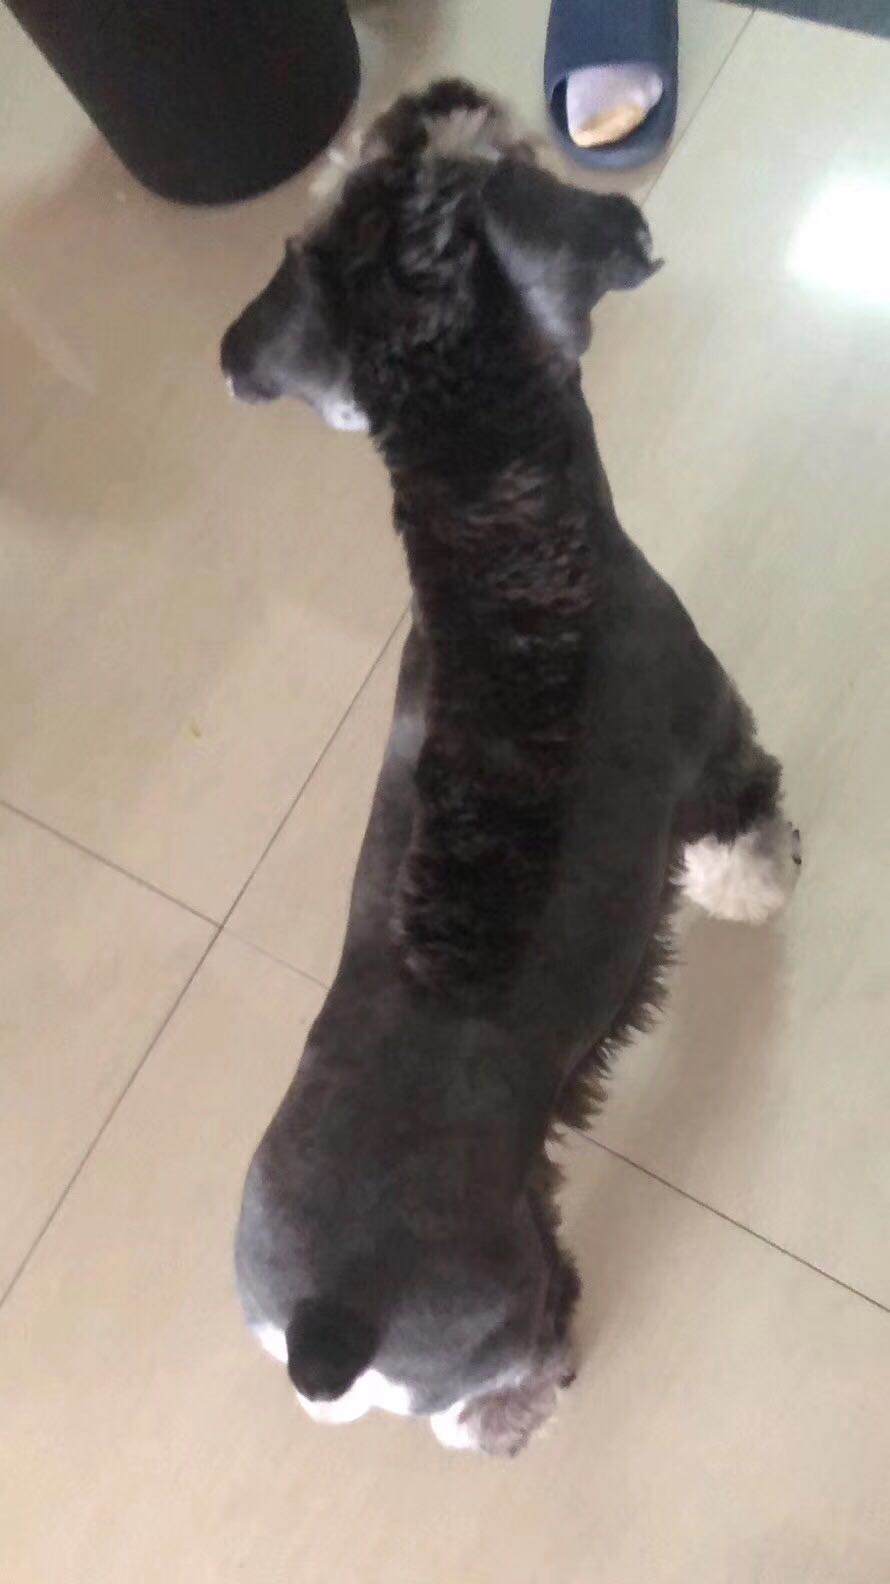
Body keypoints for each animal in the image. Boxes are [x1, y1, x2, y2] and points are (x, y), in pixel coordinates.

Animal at [221, 80, 800, 1456]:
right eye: (507, 154)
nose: (451, 91)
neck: (502, 536)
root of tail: (326, 1319)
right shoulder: (715, 744)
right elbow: (742, 839)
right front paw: (763, 890)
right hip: (510, 1305)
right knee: (499, 1385)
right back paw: (541, 1399)